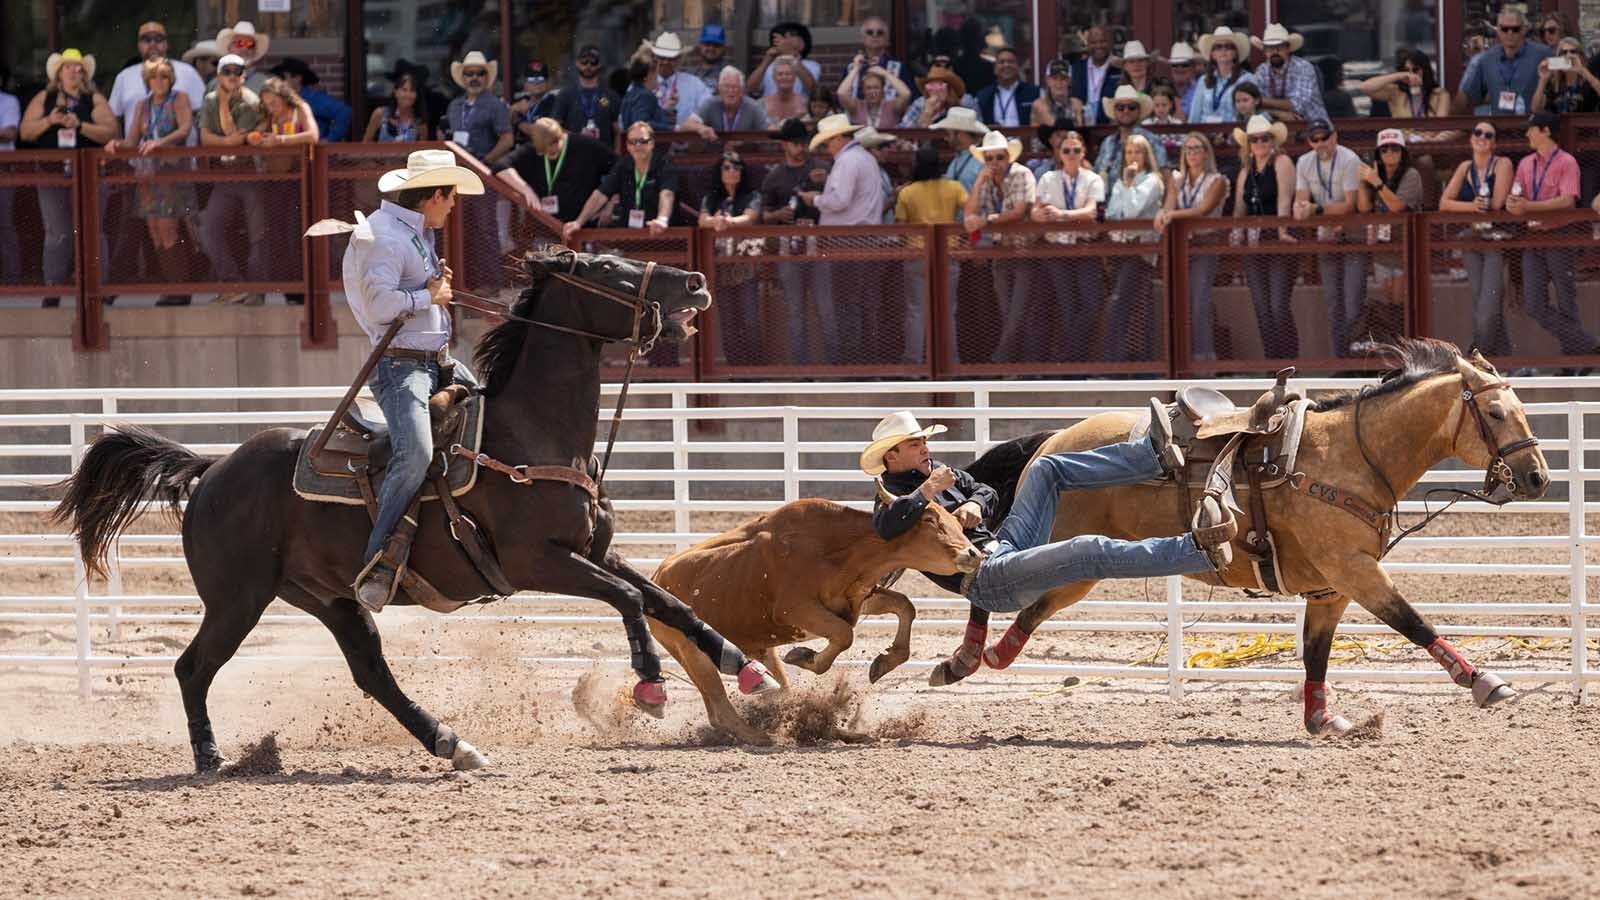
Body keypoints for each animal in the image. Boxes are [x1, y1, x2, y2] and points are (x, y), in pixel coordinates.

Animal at [648, 497, 983, 743]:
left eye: (958, 521)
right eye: (930, 521)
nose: (973, 553)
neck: (840, 548)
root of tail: (657, 575)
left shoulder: (857, 599)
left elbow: (905, 607)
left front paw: (885, 661)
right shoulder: (796, 610)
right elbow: (844, 634)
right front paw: (804, 656)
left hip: (758, 650)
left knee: (769, 692)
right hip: (692, 652)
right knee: (718, 707)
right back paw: (762, 736)